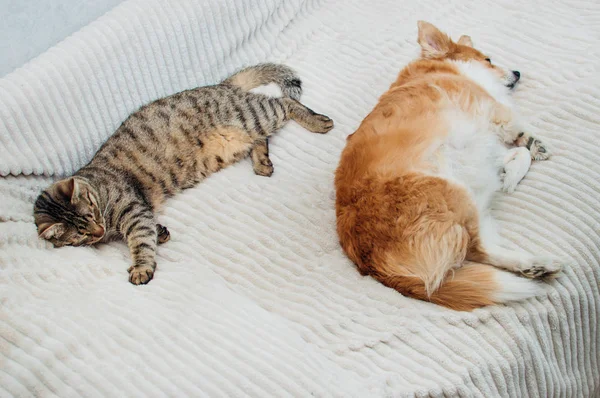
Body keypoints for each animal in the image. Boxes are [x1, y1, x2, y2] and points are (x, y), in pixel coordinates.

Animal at [32, 63, 336, 284]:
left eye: (93, 212)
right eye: (80, 236)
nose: (98, 231)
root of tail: (220, 86)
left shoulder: (132, 209)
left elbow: (140, 241)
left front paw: (141, 266)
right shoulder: (137, 212)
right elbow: (150, 229)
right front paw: (160, 232)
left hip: (254, 115)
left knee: (284, 102)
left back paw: (318, 121)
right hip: (243, 135)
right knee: (262, 137)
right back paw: (262, 162)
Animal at [336, 22, 560, 310]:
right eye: (488, 59)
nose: (518, 73)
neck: (445, 69)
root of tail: (374, 265)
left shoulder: (487, 145)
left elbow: (518, 153)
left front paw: (509, 174)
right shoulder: (494, 111)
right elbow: (520, 137)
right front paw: (534, 145)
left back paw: (532, 267)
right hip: (454, 192)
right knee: (476, 248)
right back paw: (533, 263)